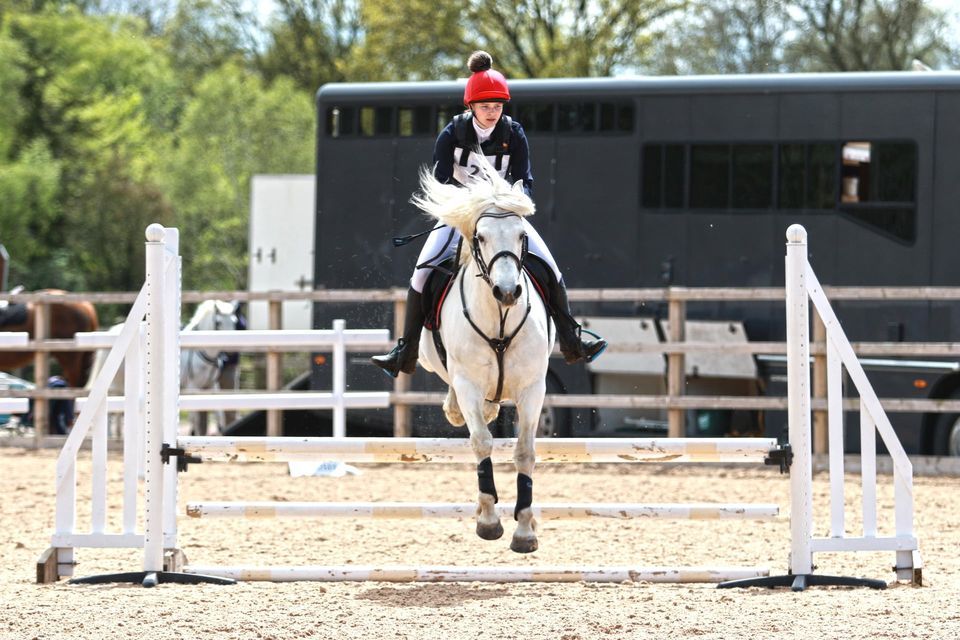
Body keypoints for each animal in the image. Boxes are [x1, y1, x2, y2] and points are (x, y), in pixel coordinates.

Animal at [414, 161, 556, 556]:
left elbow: (525, 452)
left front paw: (524, 530)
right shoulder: (468, 384)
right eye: (480, 237)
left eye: (522, 235)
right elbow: (481, 442)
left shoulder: (533, 388)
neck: (500, 318)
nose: (507, 292)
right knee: (452, 390)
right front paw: (489, 520)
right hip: (429, 357)